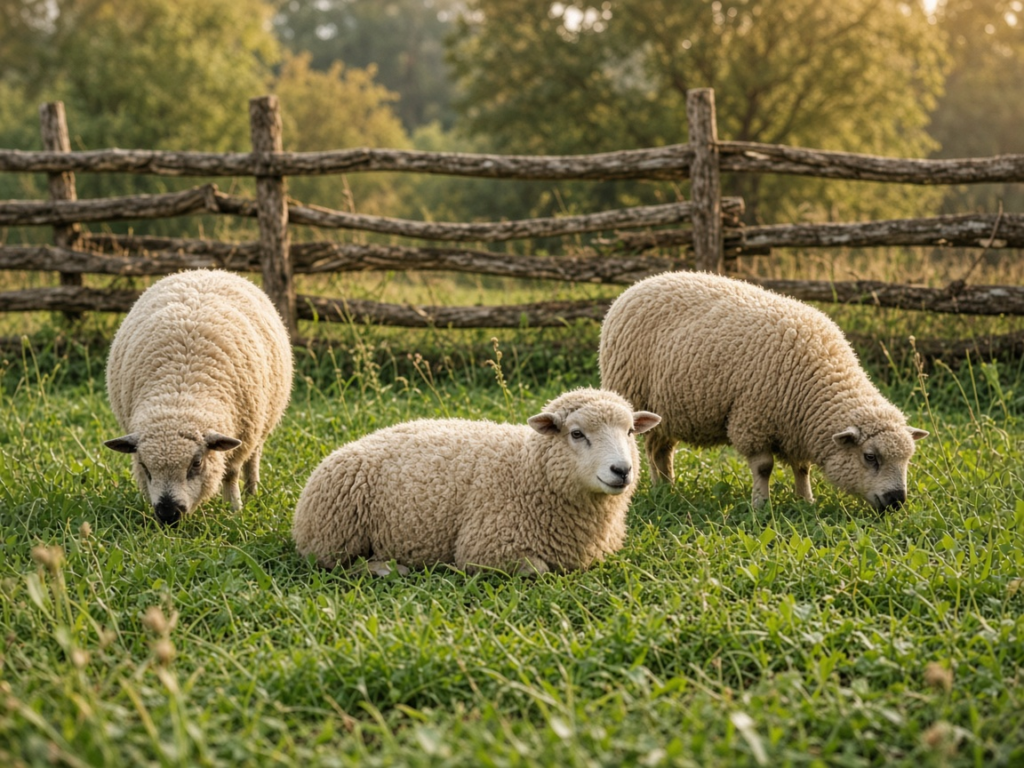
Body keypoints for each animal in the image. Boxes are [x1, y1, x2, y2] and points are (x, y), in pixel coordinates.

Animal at [104, 270, 293, 525]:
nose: (168, 515)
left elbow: (231, 473)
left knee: (254, 457)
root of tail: (207, 271)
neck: (180, 393)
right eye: (144, 466)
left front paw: (234, 509)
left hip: (261, 425)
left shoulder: (243, 433)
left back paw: (252, 491)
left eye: (196, 463)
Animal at [291, 388, 661, 575]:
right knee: (339, 566)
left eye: (631, 431)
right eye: (576, 434)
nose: (622, 470)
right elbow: (538, 570)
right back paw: (388, 569)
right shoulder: (487, 547)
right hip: (334, 538)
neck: (524, 469)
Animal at [599, 271, 928, 512]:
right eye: (870, 457)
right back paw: (661, 489)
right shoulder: (753, 420)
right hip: (637, 395)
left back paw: (668, 487)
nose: (897, 501)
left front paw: (805, 501)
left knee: (661, 449)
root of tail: (641, 284)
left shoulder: (796, 427)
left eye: (908, 459)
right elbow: (764, 467)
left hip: (667, 409)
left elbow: (802, 468)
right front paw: (761, 505)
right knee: (651, 450)